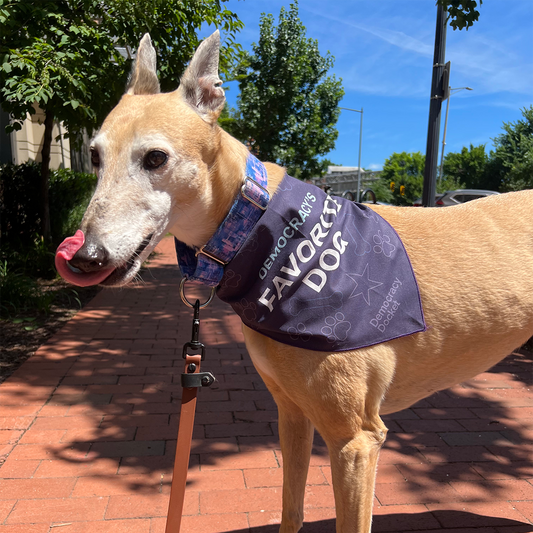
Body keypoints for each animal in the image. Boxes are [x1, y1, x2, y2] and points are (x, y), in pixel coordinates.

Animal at [55, 32, 533, 532]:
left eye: (155, 157)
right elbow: (292, 507)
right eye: (94, 156)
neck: (262, 234)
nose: (84, 257)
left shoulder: (356, 440)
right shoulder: (291, 413)